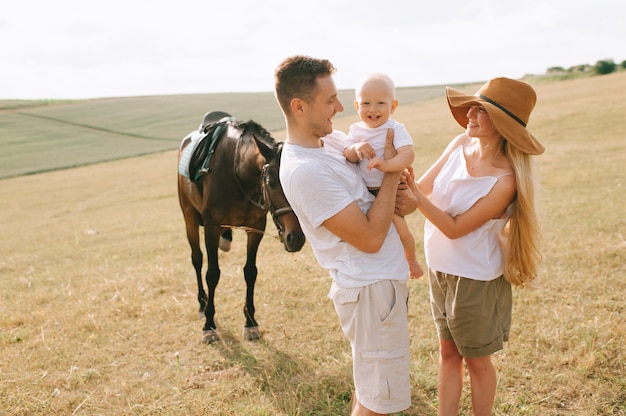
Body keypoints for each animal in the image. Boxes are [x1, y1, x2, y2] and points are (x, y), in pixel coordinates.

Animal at [176, 109, 304, 342]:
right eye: (271, 183)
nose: (295, 237)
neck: (238, 174)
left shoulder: (256, 227)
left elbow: (250, 272)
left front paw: (250, 322)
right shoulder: (211, 227)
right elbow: (212, 274)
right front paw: (209, 324)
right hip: (189, 216)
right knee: (197, 260)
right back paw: (201, 304)